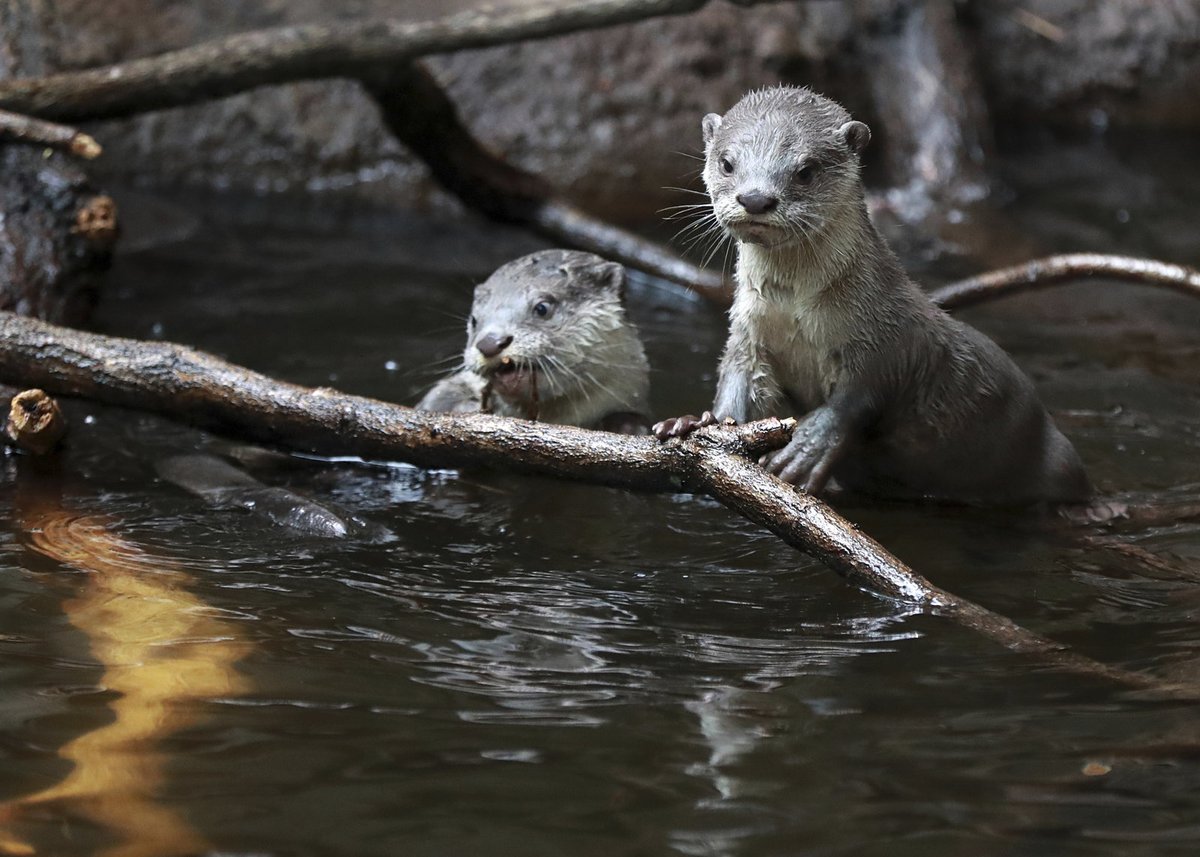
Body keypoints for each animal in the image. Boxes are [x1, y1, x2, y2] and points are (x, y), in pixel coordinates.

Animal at [652, 87, 1094, 504]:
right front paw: (697, 422)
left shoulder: (889, 333)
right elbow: (739, 390)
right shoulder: (750, 332)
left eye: (805, 171)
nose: (756, 198)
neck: (795, 312)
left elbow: (863, 393)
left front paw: (811, 445)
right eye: (727, 163)